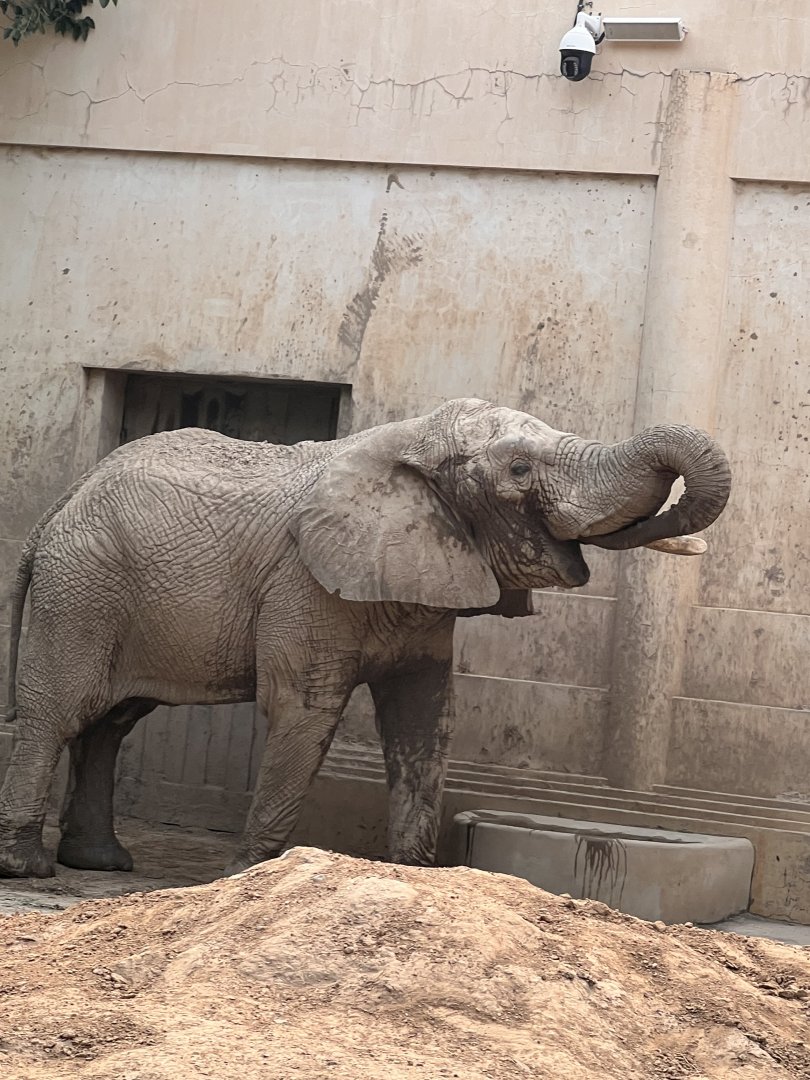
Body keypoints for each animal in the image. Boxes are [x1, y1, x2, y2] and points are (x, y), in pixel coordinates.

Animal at [0, 397, 731, 879]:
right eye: (520, 470)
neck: (410, 439)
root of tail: (56, 508)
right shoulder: (304, 579)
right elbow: (306, 709)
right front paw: (247, 878)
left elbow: (424, 718)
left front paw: (413, 876)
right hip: (83, 588)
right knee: (59, 713)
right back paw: (30, 869)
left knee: (111, 722)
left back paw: (102, 863)